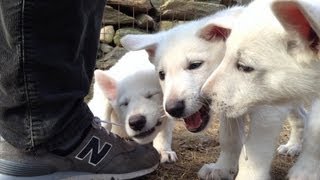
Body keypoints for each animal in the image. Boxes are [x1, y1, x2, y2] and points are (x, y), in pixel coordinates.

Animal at [202, 0, 320, 179]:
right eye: (225, 55)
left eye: (244, 67)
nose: (203, 99)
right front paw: (220, 168)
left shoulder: (267, 112)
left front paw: (305, 172)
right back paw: (293, 146)